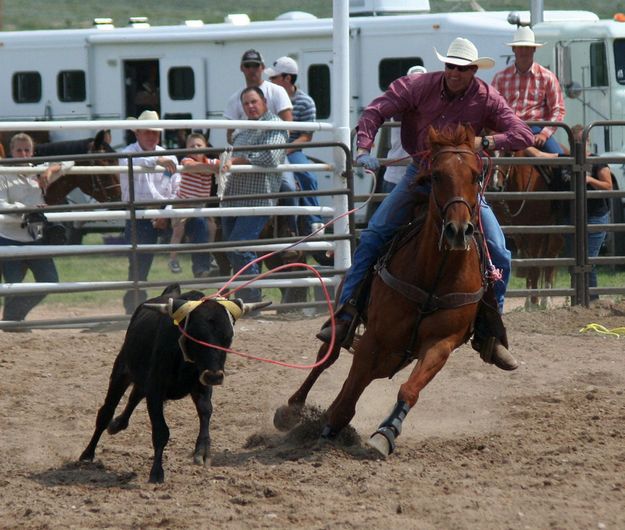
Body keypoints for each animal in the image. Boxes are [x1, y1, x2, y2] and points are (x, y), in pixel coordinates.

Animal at [276, 126, 486, 456]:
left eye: (476, 176)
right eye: (437, 175)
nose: (458, 230)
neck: (433, 276)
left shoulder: (441, 343)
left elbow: (409, 389)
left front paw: (386, 433)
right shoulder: (375, 339)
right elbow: (350, 391)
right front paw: (329, 425)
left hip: (396, 354)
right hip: (351, 325)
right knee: (328, 356)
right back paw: (293, 410)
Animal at [490, 152, 564, 310]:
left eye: (507, 154)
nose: (494, 187)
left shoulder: (535, 233)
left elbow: (534, 265)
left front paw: (534, 302)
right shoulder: (520, 234)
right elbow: (528, 263)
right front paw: (528, 301)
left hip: (555, 232)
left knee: (550, 258)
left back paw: (546, 300)